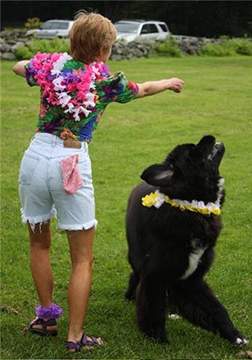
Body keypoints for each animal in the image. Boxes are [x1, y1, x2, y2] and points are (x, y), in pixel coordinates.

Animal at [125, 135, 248, 346]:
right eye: (193, 151)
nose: (209, 136)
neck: (192, 207)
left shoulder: (191, 278)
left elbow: (217, 309)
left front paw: (235, 336)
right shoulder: (154, 276)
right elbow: (154, 310)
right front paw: (158, 339)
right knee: (136, 276)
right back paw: (130, 296)